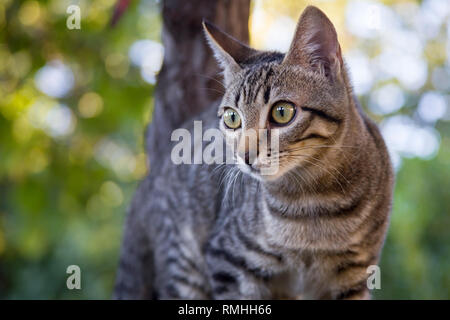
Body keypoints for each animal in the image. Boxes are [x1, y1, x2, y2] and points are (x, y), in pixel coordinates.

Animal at [113, 5, 394, 300]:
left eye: (282, 112)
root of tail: (147, 180)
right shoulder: (229, 262)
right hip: (182, 266)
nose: (245, 156)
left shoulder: (355, 275)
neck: (313, 203)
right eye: (232, 118)